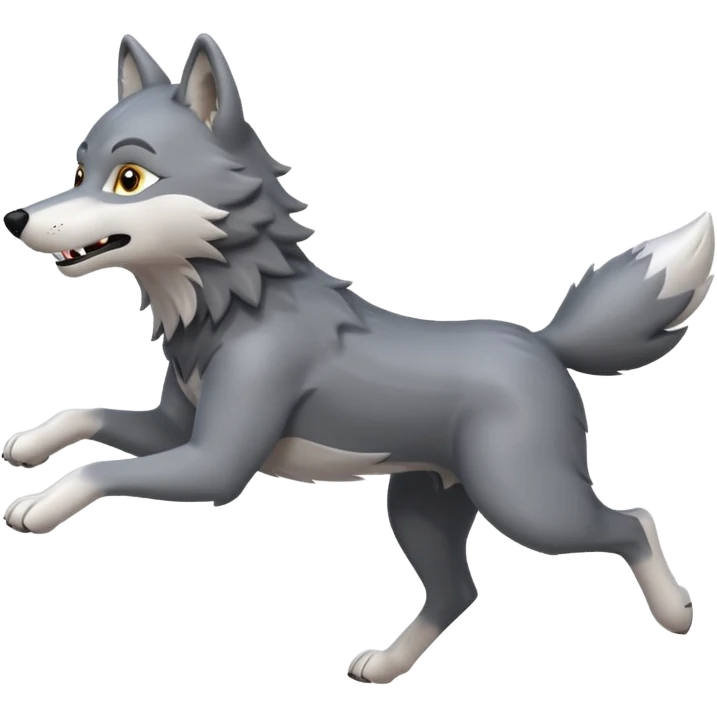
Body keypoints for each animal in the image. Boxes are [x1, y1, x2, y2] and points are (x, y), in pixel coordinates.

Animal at [1, 33, 711, 683]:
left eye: (129, 179)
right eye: (77, 173)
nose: (15, 218)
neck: (235, 299)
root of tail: (542, 342)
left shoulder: (213, 464)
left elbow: (100, 469)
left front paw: (43, 503)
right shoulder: (175, 428)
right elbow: (88, 413)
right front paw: (29, 445)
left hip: (528, 503)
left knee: (632, 522)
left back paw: (676, 611)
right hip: (424, 504)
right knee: (460, 591)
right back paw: (386, 664)